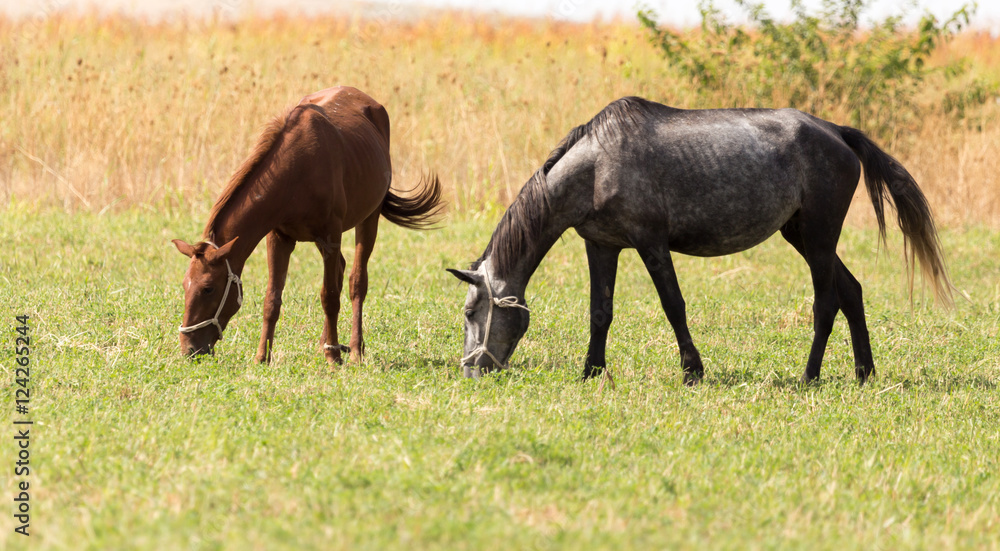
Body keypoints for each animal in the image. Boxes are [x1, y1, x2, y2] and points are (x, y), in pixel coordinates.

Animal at [174, 86, 444, 366]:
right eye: (184, 284)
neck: (297, 170)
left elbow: (330, 296)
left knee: (356, 281)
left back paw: (354, 349)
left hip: (369, 219)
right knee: (340, 270)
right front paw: (262, 356)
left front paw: (334, 358)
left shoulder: (330, 236)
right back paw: (327, 343)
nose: (189, 348)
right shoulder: (279, 238)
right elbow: (272, 298)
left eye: (208, 288)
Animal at [448, 97, 952, 386]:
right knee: (852, 291)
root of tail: (839, 132)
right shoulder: (602, 245)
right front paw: (591, 371)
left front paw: (693, 371)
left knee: (826, 303)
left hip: (819, 237)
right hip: (802, 235)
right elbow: (600, 312)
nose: (471, 370)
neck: (597, 165)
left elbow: (674, 306)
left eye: (473, 313)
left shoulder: (651, 244)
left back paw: (809, 377)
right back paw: (864, 373)